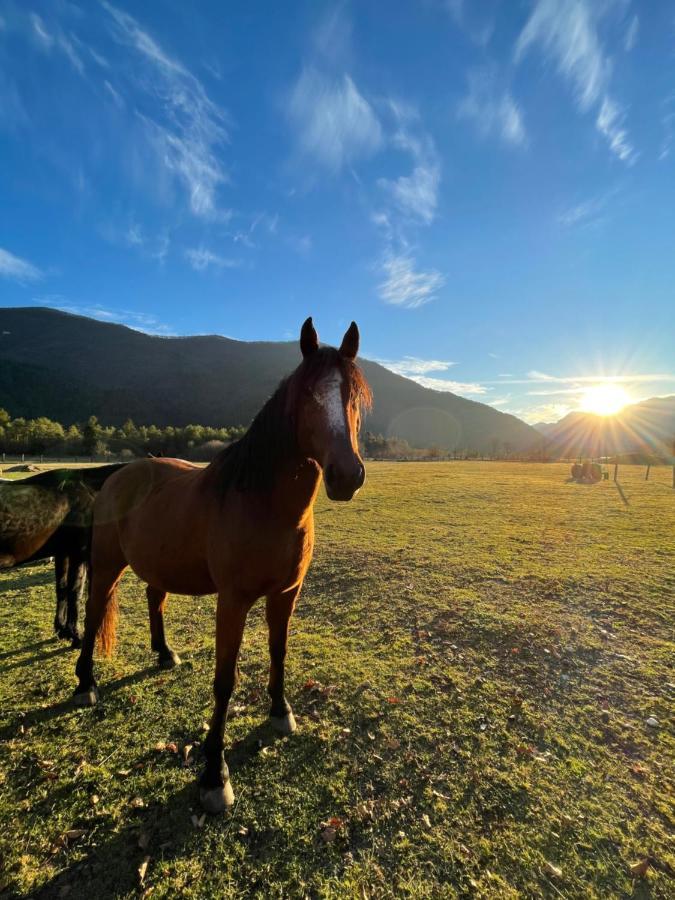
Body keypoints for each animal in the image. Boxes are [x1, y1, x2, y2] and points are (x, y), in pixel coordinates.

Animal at [0, 464, 125, 648]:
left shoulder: (62, 553)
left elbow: (62, 588)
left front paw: (61, 630)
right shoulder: (78, 553)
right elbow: (75, 591)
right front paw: (76, 636)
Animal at [74, 318, 372, 816]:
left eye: (354, 397)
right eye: (308, 395)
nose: (347, 476)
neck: (263, 503)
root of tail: (119, 473)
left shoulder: (286, 594)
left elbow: (278, 652)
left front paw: (280, 712)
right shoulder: (233, 602)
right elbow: (224, 681)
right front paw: (214, 775)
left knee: (155, 598)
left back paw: (164, 654)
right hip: (106, 564)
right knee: (95, 612)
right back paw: (85, 683)